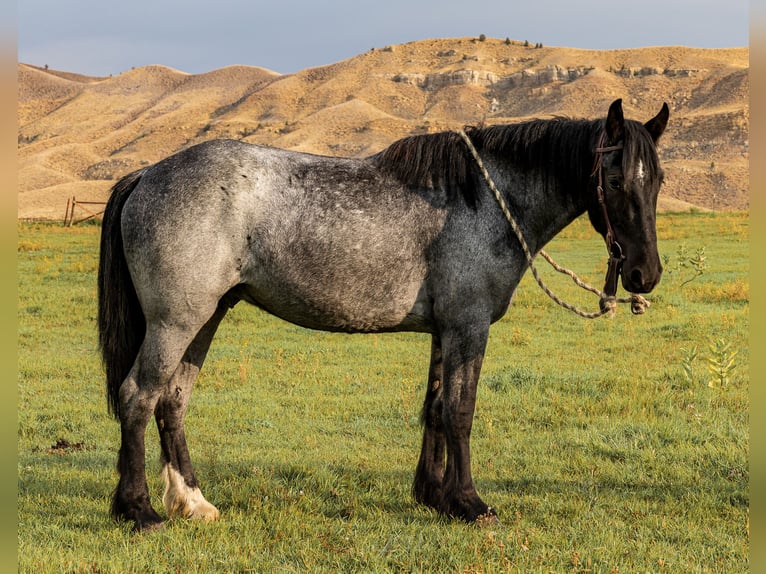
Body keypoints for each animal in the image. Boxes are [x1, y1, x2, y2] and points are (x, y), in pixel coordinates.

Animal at [98, 98, 668, 531]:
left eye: (657, 181)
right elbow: (460, 412)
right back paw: (139, 510)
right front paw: (470, 503)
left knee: (172, 402)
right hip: (175, 323)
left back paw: (192, 501)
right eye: (616, 182)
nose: (645, 275)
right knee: (138, 397)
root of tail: (147, 174)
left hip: (204, 318)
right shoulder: (468, 326)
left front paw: (435, 496)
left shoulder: (445, 330)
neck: (485, 200)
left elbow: (435, 409)